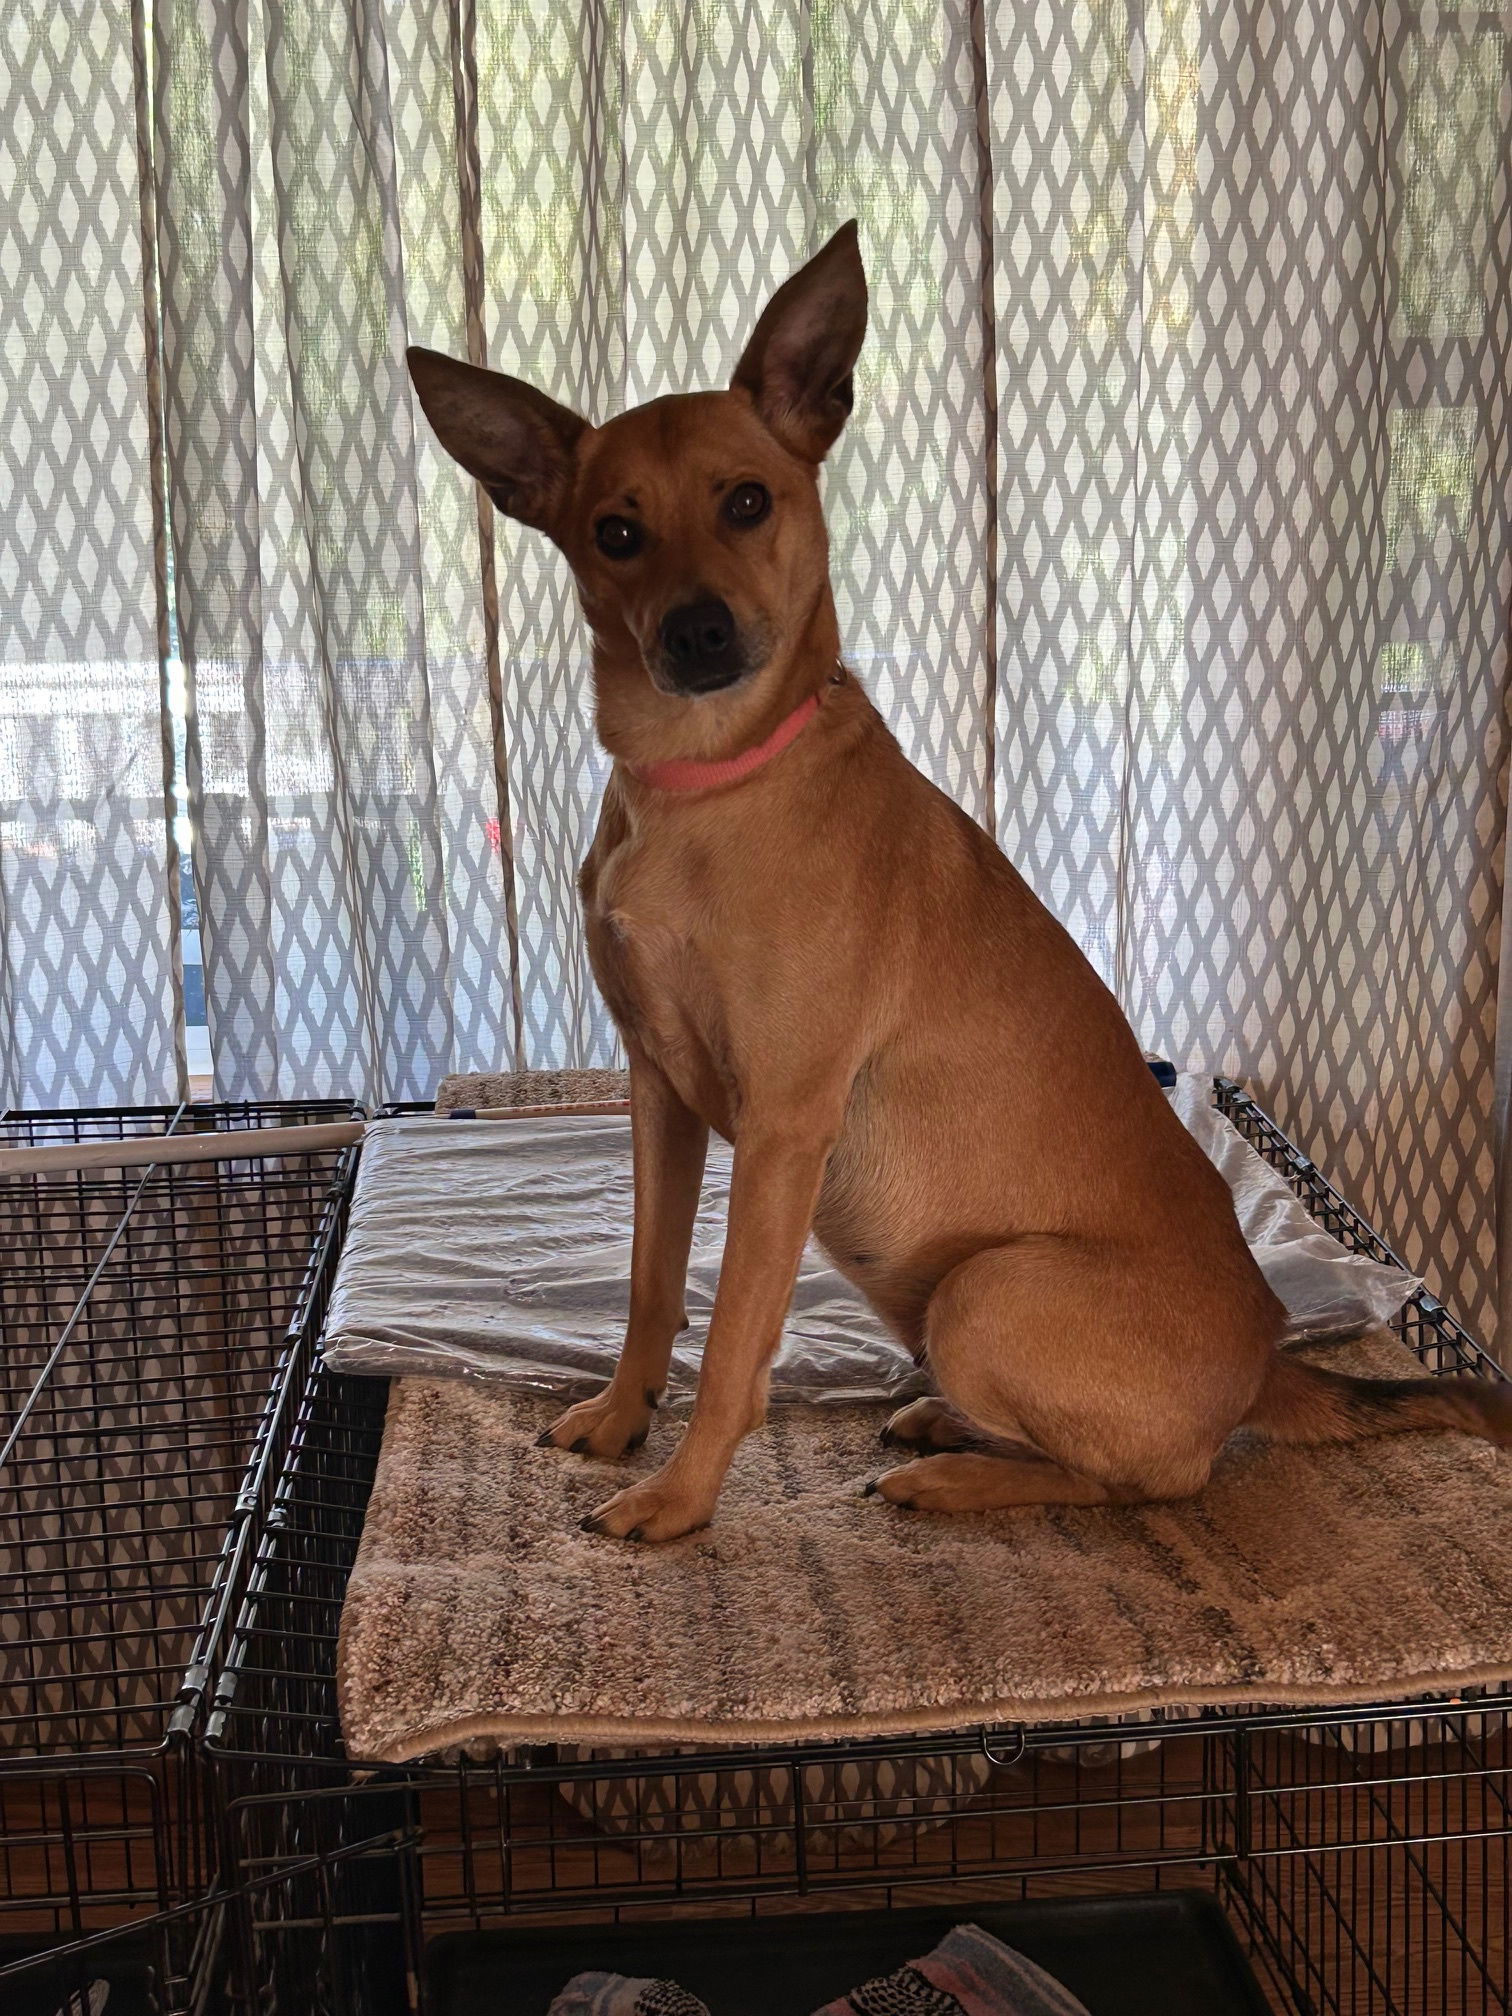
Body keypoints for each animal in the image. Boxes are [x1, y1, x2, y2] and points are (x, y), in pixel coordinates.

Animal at [409, 224, 1507, 1540]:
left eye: (747, 501)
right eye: (615, 533)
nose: (697, 634)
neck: (706, 783)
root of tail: (1267, 1361)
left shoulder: (782, 1130)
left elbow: (730, 1346)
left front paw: (679, 1496)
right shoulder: (660, 1096)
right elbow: (650, 1289)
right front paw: (625, 1418)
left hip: (984, 1292)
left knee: (1149, 1481)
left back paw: (958, 1471)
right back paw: (945, 1427)